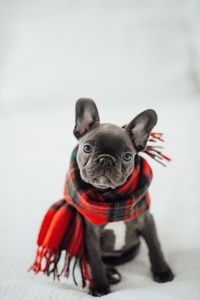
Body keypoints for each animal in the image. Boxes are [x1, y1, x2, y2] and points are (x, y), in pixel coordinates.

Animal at [72, 98, 174, 296]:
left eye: (127, 156)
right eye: (87, 148)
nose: (106, 160)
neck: (112, 197)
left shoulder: (146, 220)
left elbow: (155, 246)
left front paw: (162, 271)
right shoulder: (90, 234)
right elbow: (95, 260)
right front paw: (99, 285)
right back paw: (110, 274)